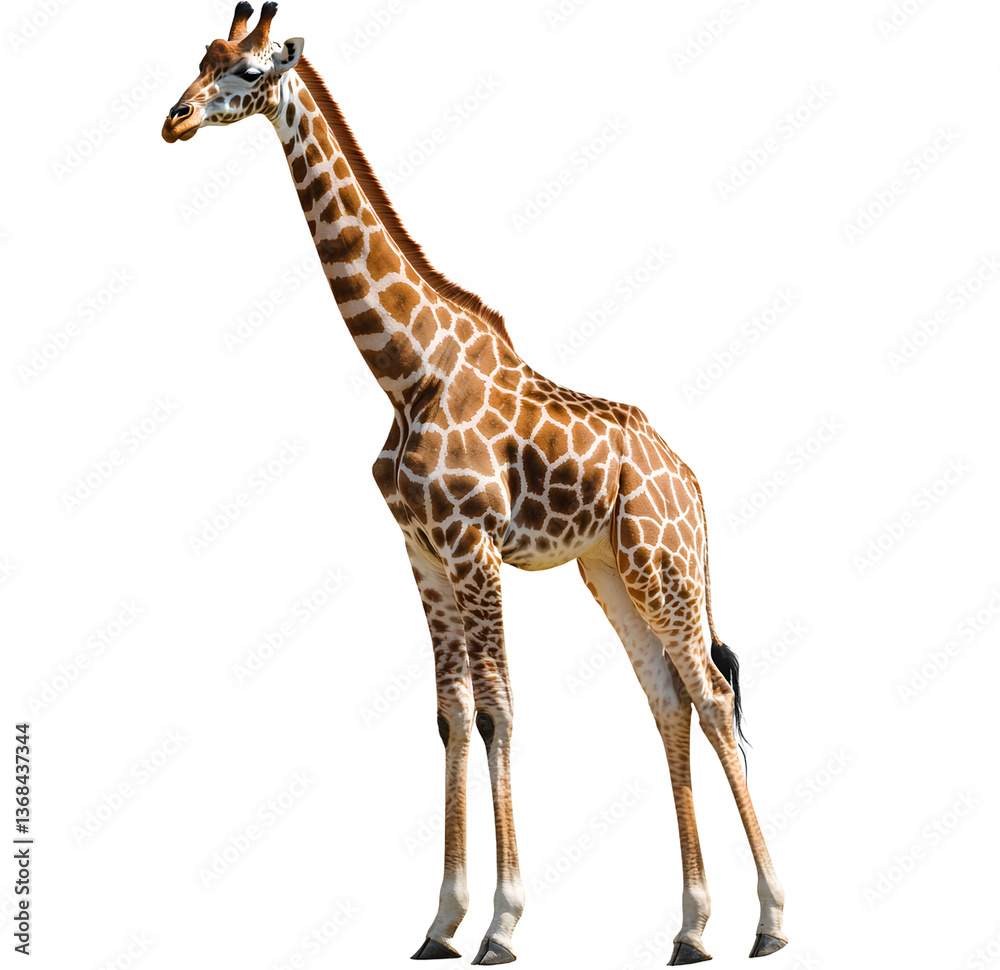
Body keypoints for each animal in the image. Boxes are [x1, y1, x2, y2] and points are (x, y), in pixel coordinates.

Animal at [162, 5, 787, 964]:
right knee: (667, 699)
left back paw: (775, 918)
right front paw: (440, 922)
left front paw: (502, 921)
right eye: (203, 57)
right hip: (609, 570)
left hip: (665, 565)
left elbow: (497, 710)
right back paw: (690, 928)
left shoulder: (472, 543)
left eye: (251, 70)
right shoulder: (421, 548)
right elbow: (451, 713)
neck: (405, 369)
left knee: (713, 697)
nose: (176, 119)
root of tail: (692, 483)